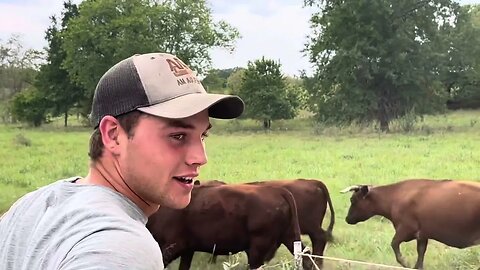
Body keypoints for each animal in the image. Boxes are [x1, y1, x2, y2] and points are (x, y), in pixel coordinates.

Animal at [340, 178, 480, 268]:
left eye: (352, 199)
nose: (347, 219)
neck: (396, 196)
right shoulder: (422, 235)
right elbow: (420, 254)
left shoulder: (406, 229)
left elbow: (394, 244)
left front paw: (404, 262)